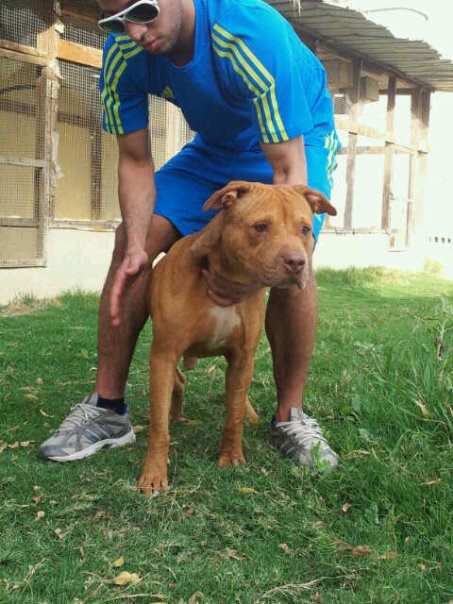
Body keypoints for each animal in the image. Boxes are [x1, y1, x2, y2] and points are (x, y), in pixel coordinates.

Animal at [138, 181, 336, 495]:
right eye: (260, 227)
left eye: (305, 229)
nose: (297, 262)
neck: (226, 277)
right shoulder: (164, 353)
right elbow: (158, 426)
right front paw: (154, 474)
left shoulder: (243, 357)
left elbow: (233, 415)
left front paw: (231, 455)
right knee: (177, 382)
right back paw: (175, 412)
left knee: (236, 394)